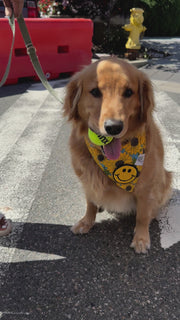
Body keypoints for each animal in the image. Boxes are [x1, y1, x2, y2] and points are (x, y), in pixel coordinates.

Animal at [63, 57, 172, 252]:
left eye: (128, 92)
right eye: (95, 92)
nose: (113, 127)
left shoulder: (147, 186)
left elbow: (142, 215)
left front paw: (141, 238)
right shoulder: (87, 180)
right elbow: (90, 203)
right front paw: (86, 221)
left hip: (165, 178)